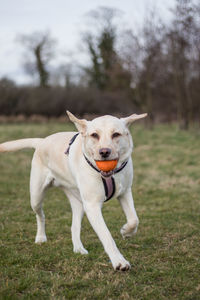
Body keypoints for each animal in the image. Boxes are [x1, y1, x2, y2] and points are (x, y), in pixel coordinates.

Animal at [0, 111, 147, 270]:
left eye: (116, 134)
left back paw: (78, 248)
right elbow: (106, 236)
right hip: (36, 196)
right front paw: (119, 261)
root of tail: (42, 141)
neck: (109, 175)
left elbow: (134, 219)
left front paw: (126, 232)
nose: (104, 152)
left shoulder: (125, 192)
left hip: (78, 203)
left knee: (74, 226)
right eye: (94, 135)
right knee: (40, 215)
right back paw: (40, 237)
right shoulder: (92, 206)